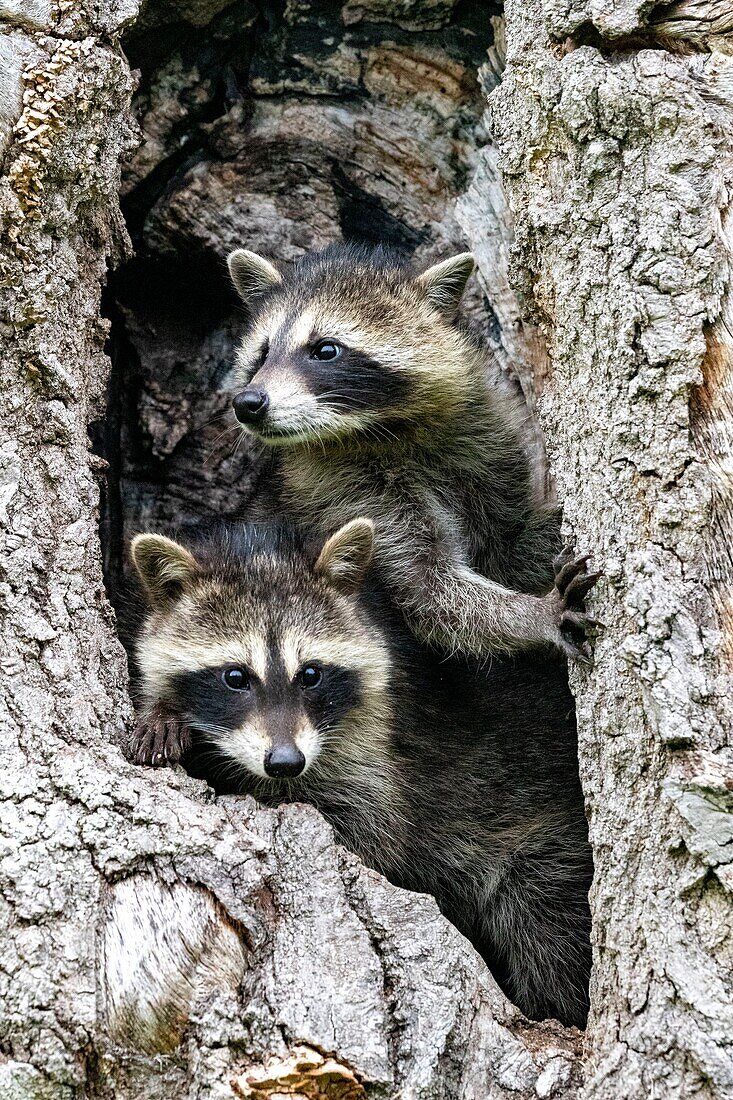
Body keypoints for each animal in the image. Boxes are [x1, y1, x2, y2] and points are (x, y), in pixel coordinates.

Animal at [128, 519, 589, 1025]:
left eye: (310, 674)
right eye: (235, 677)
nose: (285, 763)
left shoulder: (376, 753)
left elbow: (370, 836)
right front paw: (164, 713)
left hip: (548, 845)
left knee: (549, 928)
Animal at [225, 243, 598, 660]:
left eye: (325, 350)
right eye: (263, 353)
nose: (248, 403)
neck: (389, 431)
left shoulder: (491, 441)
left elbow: (511, 548)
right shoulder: (345, 494)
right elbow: (430, 592)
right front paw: (534, 613)